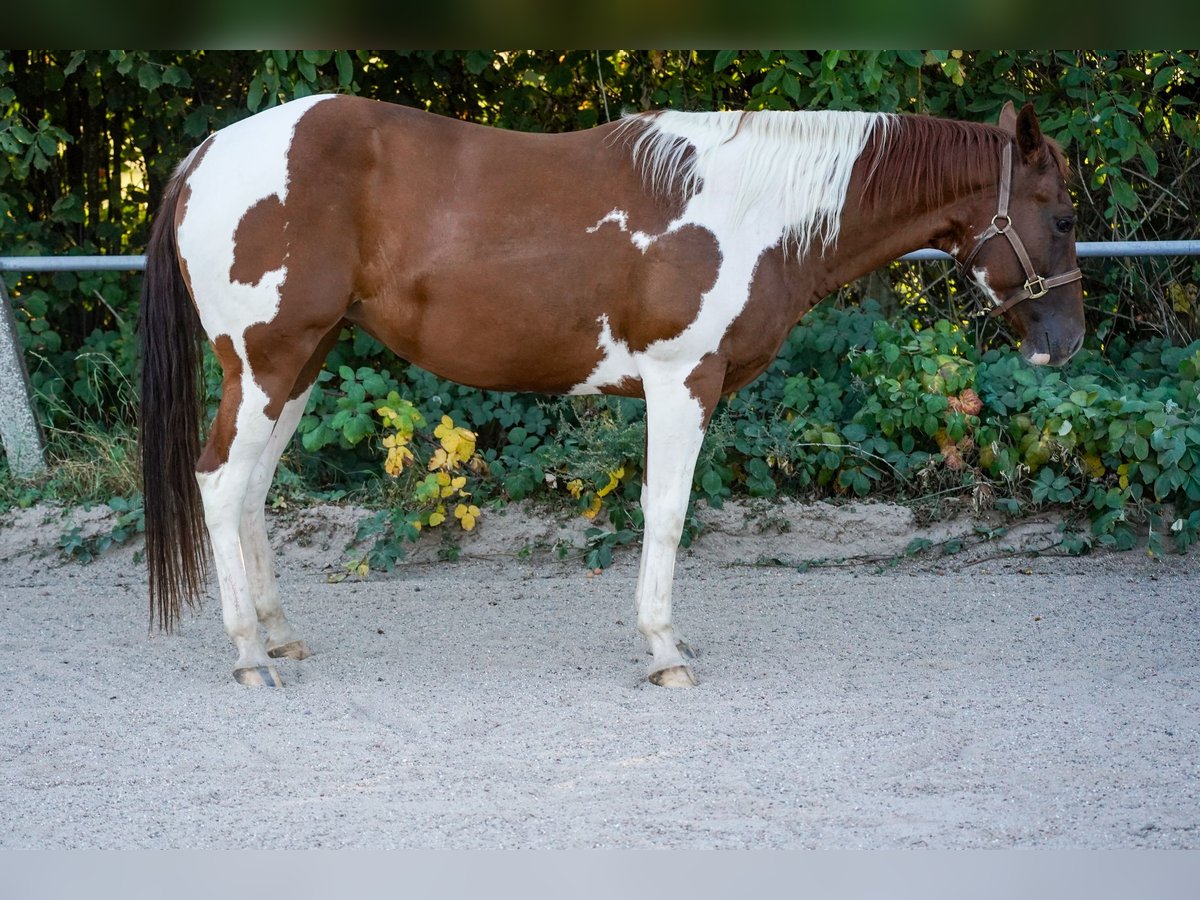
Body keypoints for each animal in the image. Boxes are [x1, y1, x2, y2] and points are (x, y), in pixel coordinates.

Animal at [139, 95, 1084, 688]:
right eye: (1065, 215)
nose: (1067, 341)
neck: (754, 211)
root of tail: (208, 153)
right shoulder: (683, 381)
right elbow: (665, 514)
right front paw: (664, 650)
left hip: (299, 363)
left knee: (252, 492)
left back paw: (278, 636)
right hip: (265, 362)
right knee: (220, 484)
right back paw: (248, 656)